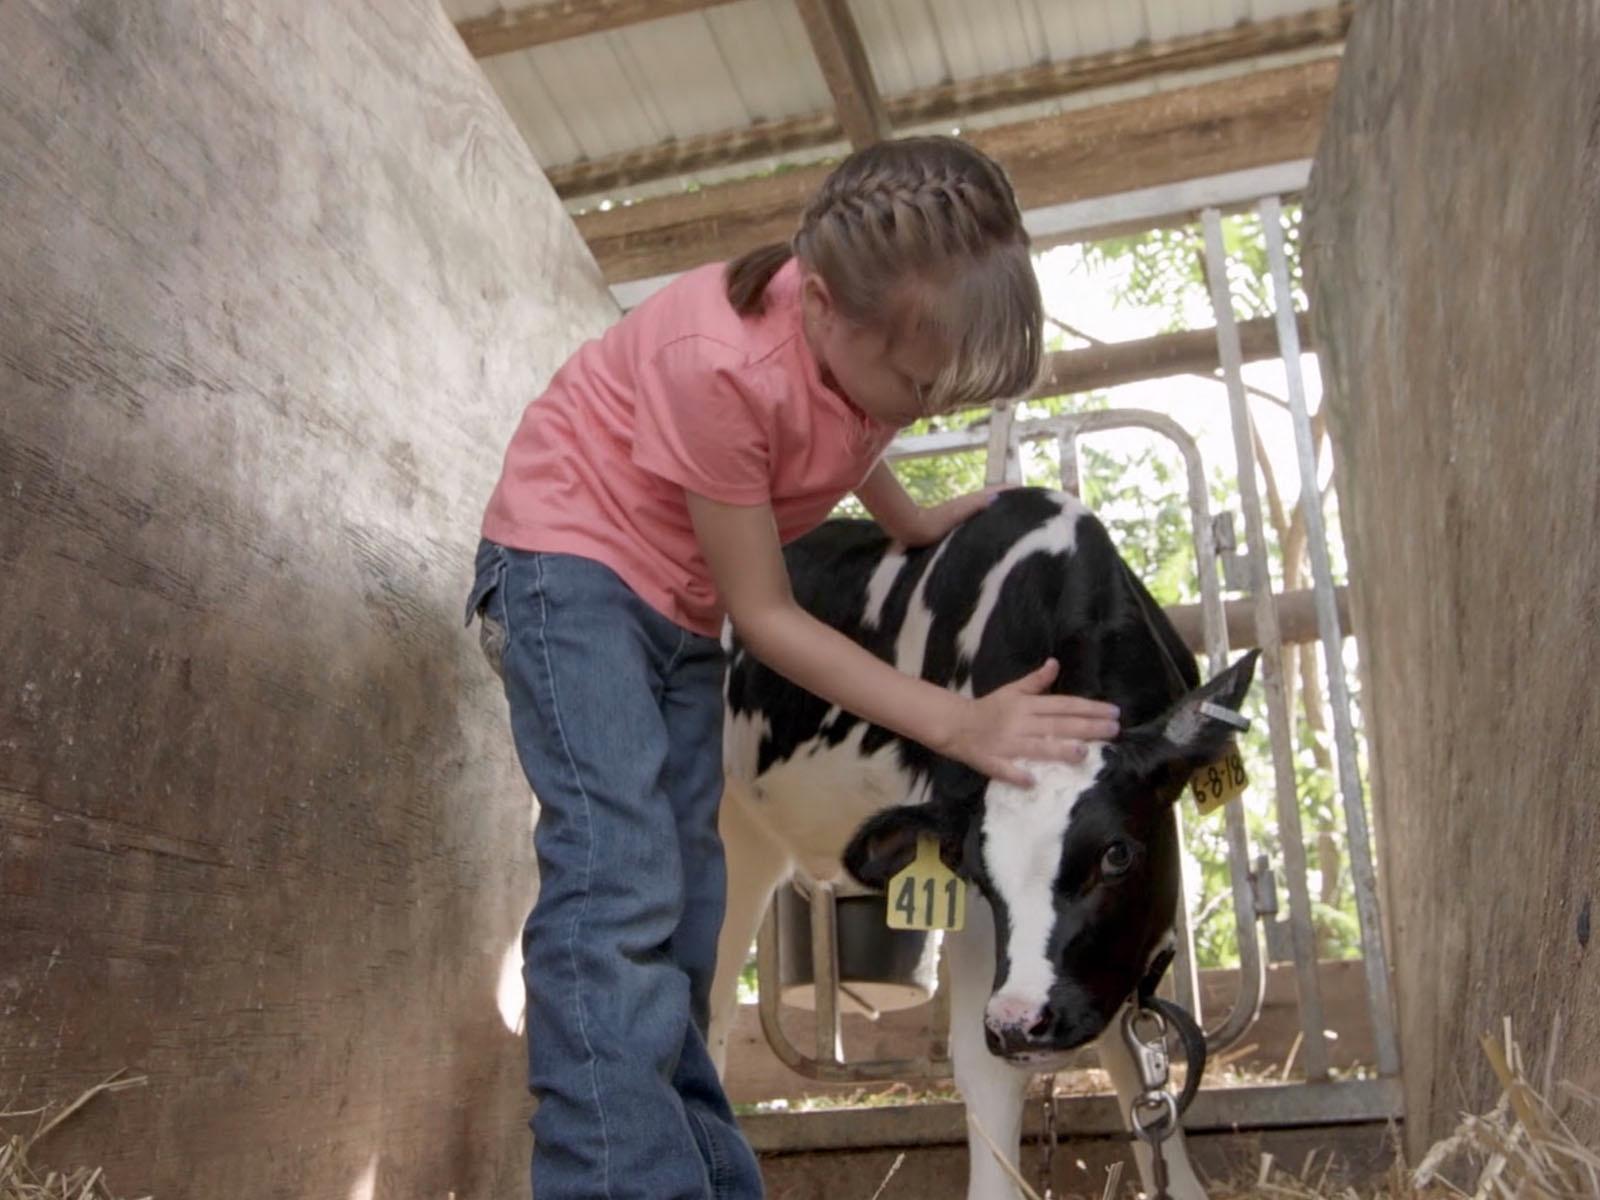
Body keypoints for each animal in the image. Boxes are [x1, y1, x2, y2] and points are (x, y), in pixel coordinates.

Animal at [707, 489, 1254, 1200]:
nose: (1022, 1022)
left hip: (748, 844)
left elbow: (1135, 1053)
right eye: (979, 874)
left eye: (1118, 854)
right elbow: (988, 1071)